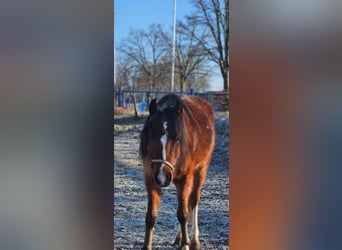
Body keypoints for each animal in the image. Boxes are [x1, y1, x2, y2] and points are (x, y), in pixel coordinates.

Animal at [138, 94, 214, 250]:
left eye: (178, 138)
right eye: (151, 135)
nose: (162, 176)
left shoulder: (184, 180)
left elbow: (183, 214)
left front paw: (186, 244)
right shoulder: (151, 180)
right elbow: (151, 216)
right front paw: (146, 245)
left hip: (200, 171)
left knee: (193, 202)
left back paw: (194, 240)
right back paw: (179, 238)